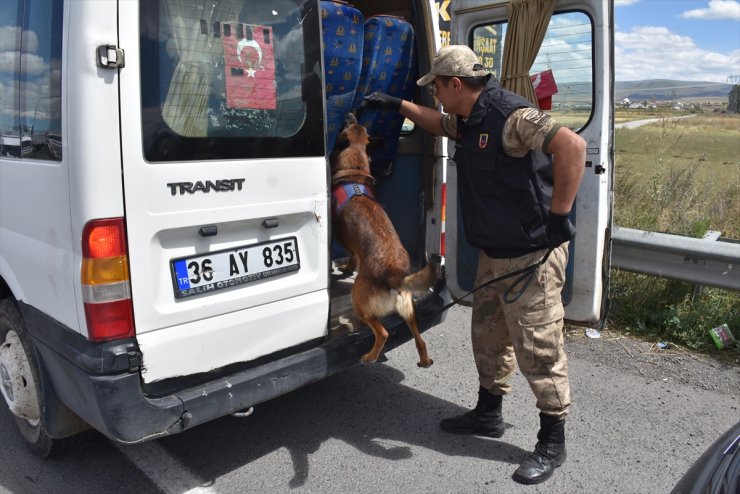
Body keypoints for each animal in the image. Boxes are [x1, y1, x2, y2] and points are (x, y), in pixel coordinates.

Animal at [330, 113, 440, 366]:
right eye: (359, 124)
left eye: (350, 124)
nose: (350, 113)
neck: (354, 169)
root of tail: (395, 276)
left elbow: (351, 254)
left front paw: (344, 267)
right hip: (410, 310)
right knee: (420, 339)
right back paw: (424, 359)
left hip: (359, 302)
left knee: (383, 332)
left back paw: (370, 356)